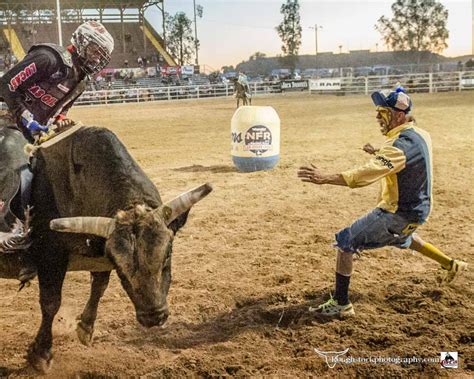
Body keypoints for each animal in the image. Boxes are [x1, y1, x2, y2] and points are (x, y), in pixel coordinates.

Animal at [0, 125, 211, 374]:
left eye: (167, 255)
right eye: (121, 267)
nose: (153, 316)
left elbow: (99, 286)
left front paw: (86, 326)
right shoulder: (50, 257)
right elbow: (51, 303)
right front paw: (41, 354)